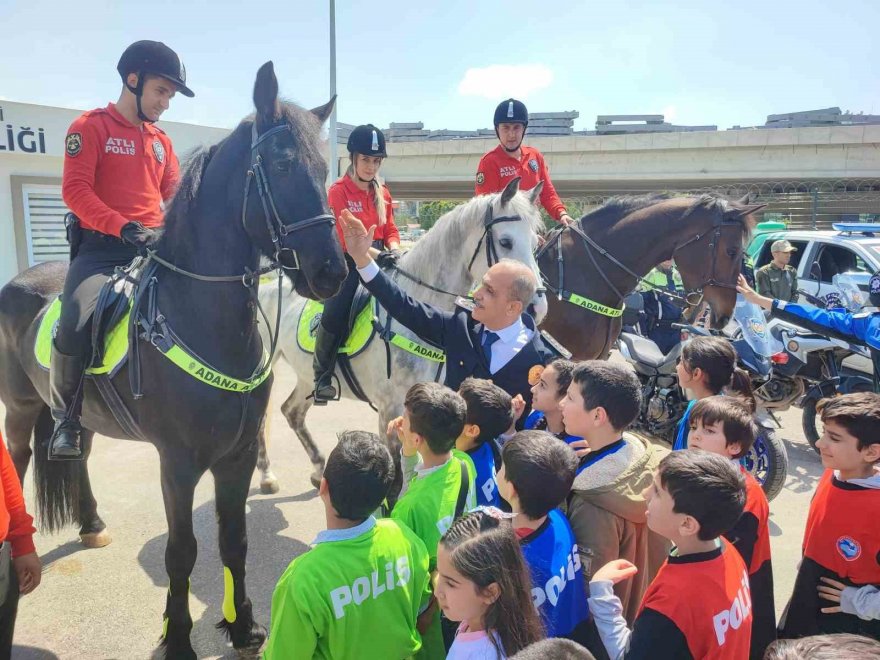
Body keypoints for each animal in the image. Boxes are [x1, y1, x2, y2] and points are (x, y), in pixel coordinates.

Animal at [0, 63, 348, 660]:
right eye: (282, 165)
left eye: (326, 170)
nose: (331, 272)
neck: (201, 316)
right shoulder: (178, 463)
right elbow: (182, 550)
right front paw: (179, 639)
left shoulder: (235, 456)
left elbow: (235, 539)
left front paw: (243, 626)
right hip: (22, 410)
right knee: (19, 461)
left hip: (74, 413)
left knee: (78, 451)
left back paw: (91, 522)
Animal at [251, 177, 548, 490]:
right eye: (505, 242)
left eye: (536, 243)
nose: (536, 306)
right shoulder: (389, 409)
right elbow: (396, 476)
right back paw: (267, 474)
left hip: (306, 376)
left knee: (291, 411)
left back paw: (319, 468)